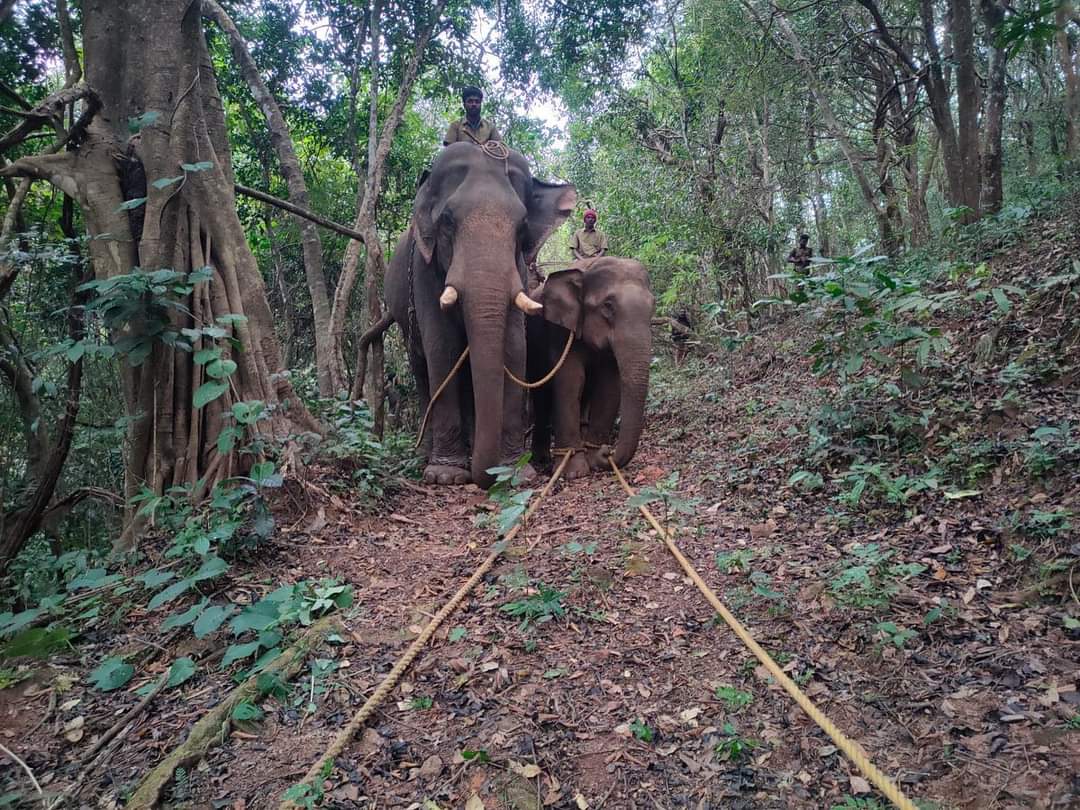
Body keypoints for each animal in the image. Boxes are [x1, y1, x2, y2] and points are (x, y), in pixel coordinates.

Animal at [383, 142, 576, 487]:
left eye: (522, 227)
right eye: (447, 221)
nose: (485, 475)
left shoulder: (519, 272)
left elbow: (514, 347)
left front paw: (517, 472)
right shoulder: (424, 269)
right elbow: (442, 347)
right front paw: (445, 475)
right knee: (420, 365)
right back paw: (426, 455)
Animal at [527, 257, 656, 479]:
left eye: (653, 305)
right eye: (608, 306)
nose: (607, 452)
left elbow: (609, 385)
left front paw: (594, 460)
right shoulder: (560, 330)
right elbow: (570, 381)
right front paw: (573, 473)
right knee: (541, 395)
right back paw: (542, 460)